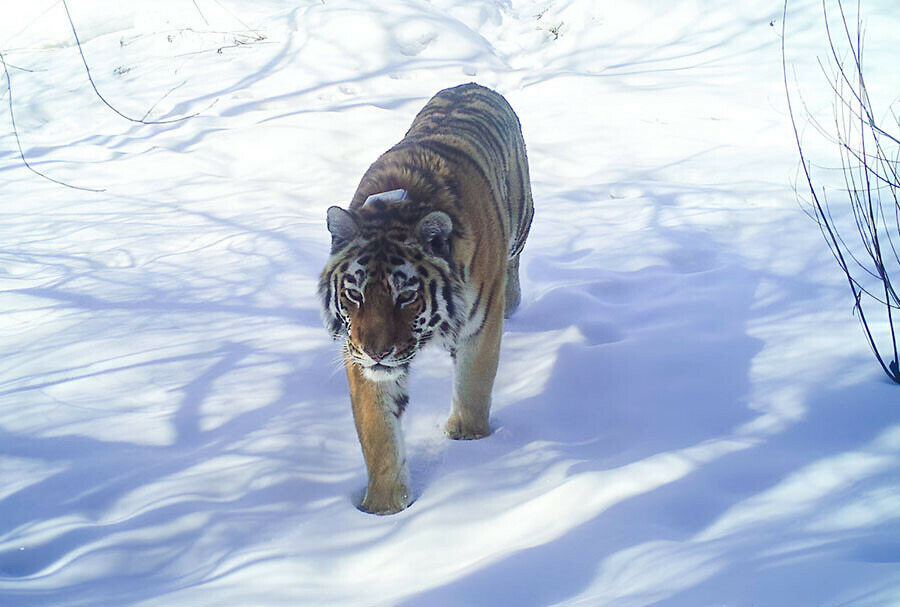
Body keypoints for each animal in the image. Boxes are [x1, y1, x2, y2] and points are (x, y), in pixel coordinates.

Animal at [320, 83, 532, 516]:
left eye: (406, 296)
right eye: (354, 294)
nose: (377, 352)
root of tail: (473, 84)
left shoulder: (480, 327)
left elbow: (474, 384)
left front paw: (468, 439)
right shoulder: (357, 353)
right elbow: (377, 432)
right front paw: (384, 509)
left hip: (522, 223)